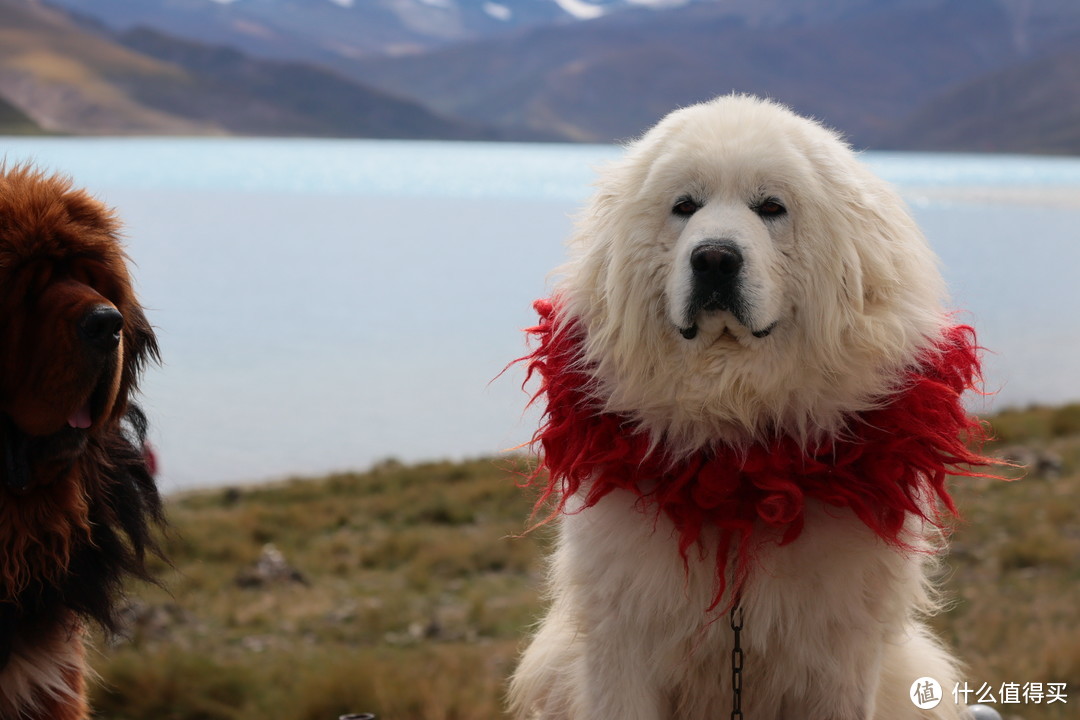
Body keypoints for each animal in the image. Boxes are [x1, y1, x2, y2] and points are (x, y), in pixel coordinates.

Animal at [509, 95, 989, 720]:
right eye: (684, 206)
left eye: (771, 207)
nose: (714, 259)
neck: (738, 469)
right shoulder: (623, 643)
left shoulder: (837, 655)